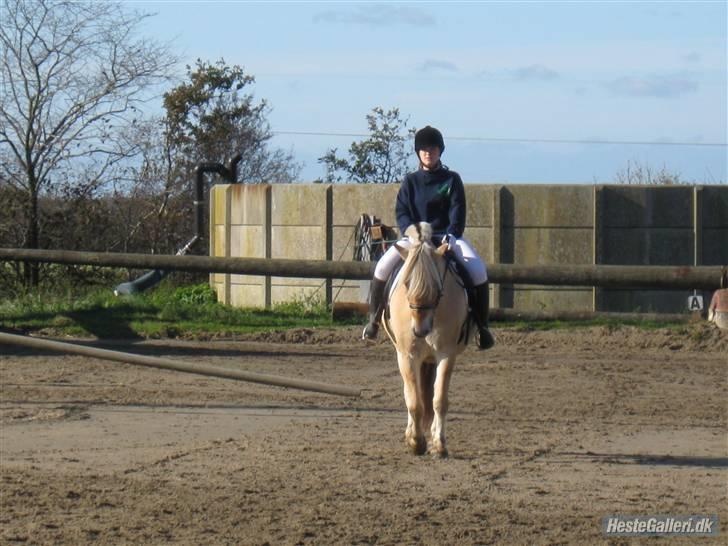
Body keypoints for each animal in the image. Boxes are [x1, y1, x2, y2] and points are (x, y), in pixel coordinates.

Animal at [382, 221, 472, 454]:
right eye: (405, 283)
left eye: (437, 286)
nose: (420, 331)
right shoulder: (408, 355)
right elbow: (414, 401)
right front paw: (416, 441)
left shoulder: (446, 354)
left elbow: (439, 399)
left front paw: (439, 443)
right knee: (410, 393)